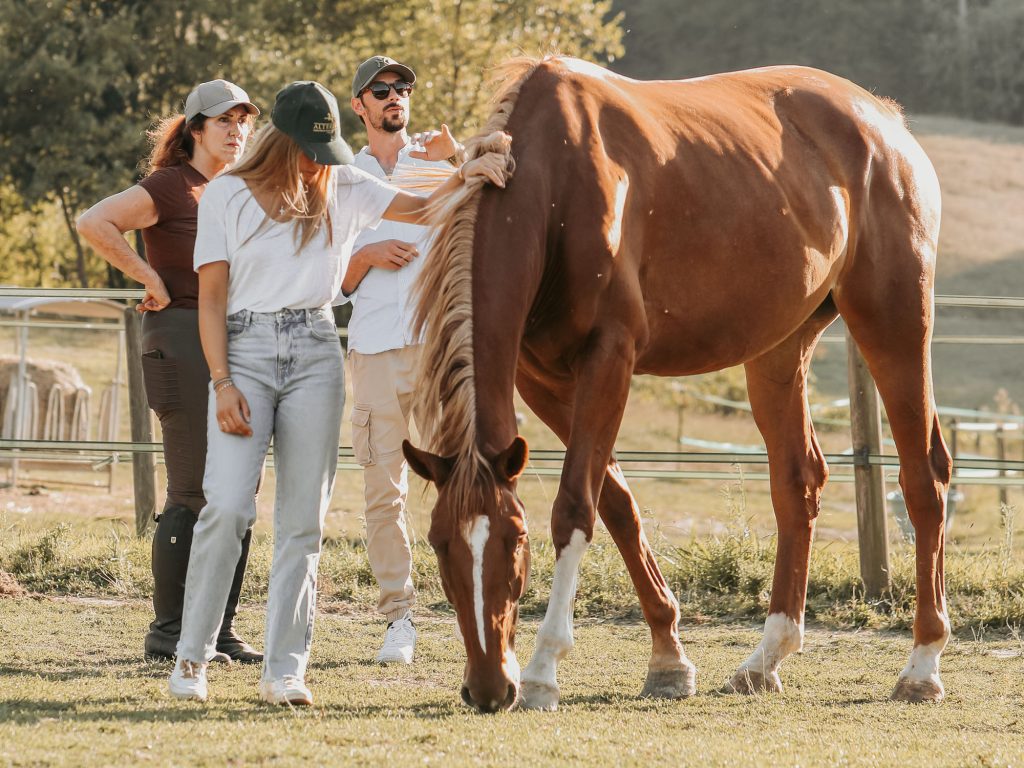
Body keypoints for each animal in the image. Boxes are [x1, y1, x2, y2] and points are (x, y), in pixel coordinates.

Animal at [402, 56, 950, 713]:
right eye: (439, 544)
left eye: (513, 541)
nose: (487, 689)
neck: (557, 182)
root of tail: (885, 121)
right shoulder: (543, 382)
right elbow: (617, 504)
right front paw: (668, 657)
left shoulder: (608, 360)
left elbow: (574, 506)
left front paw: (541, 671)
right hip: (778, 350)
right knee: (798, 484)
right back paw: (766, 658)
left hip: (894, 324)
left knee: (923, 479)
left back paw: (921, 665)